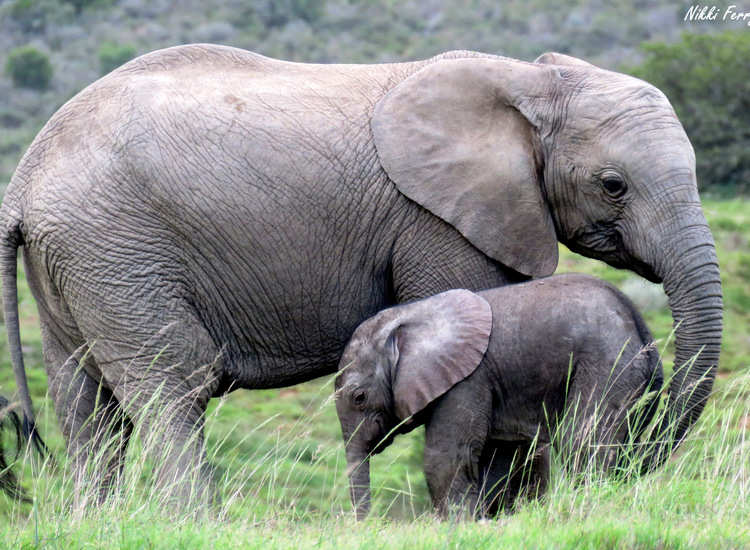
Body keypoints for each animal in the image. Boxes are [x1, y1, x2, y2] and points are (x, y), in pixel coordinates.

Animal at [334, 274, 663, 519]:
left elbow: (445, 457)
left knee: (582, 439)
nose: (369, 523)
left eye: (359, 397)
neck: (407, 317)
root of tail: (639, 324)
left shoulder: (467, 379)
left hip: (609, 364)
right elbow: (497, 457)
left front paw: (456, 525)